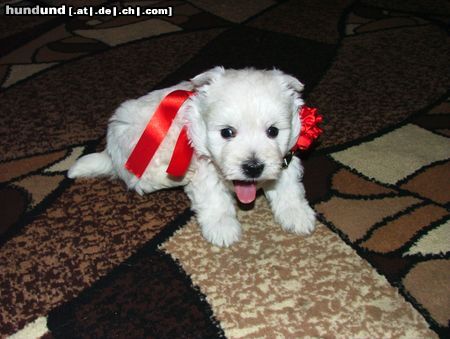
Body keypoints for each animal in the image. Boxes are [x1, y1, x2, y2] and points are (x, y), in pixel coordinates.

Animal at [69, 67, 316, 247]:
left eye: (273, 131)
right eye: (227, 132)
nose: (253, 167)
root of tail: (110, 151)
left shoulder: (285, 159)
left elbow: (288, 188)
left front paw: (297, 214)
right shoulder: (203, 168)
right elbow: (215, 199)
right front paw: (222, 228)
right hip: (134, 141)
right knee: (139, 180)